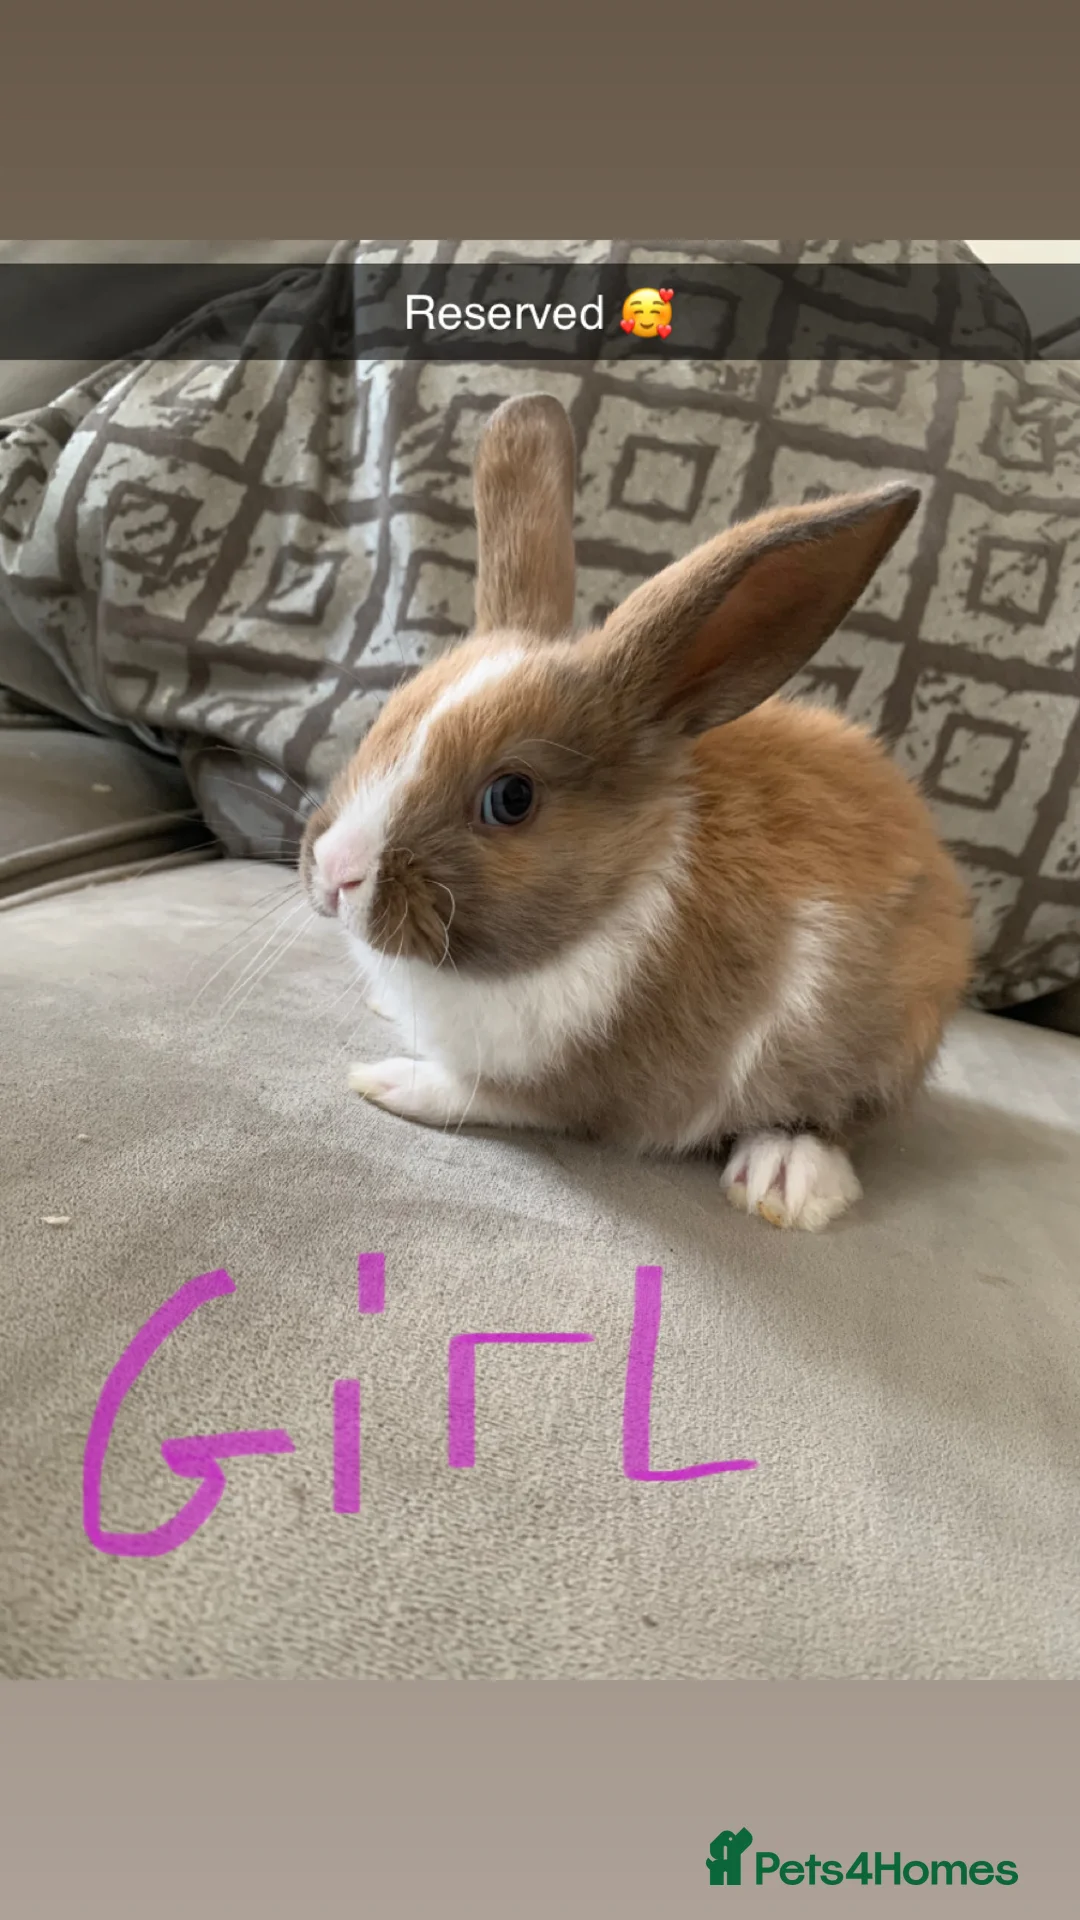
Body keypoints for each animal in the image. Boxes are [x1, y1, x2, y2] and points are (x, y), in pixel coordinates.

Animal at [300, 393, 973, 1231]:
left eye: (511, 798)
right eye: (385, 721)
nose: (336, 873)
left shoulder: (567, 1088)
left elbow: (475, 1094)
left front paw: (387, 1082)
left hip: (878, 1040)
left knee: (834, 1117)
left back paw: (785, 1179)